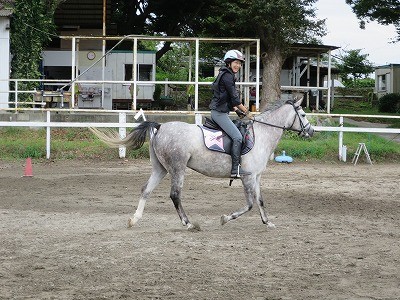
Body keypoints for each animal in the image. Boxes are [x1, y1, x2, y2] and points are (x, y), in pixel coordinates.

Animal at [90, 97, 312, 231]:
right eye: (302, 114)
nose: (310, 131)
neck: (262, 134)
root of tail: (160, 127)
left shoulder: (256, 177)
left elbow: (260, 201)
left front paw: (268, 222)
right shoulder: (248, 177)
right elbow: (250, 204)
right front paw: (225, 218)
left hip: (160, 169)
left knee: (146, 190)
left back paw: (134, 219)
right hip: (177, 168)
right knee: (175, 195)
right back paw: (188, 224)